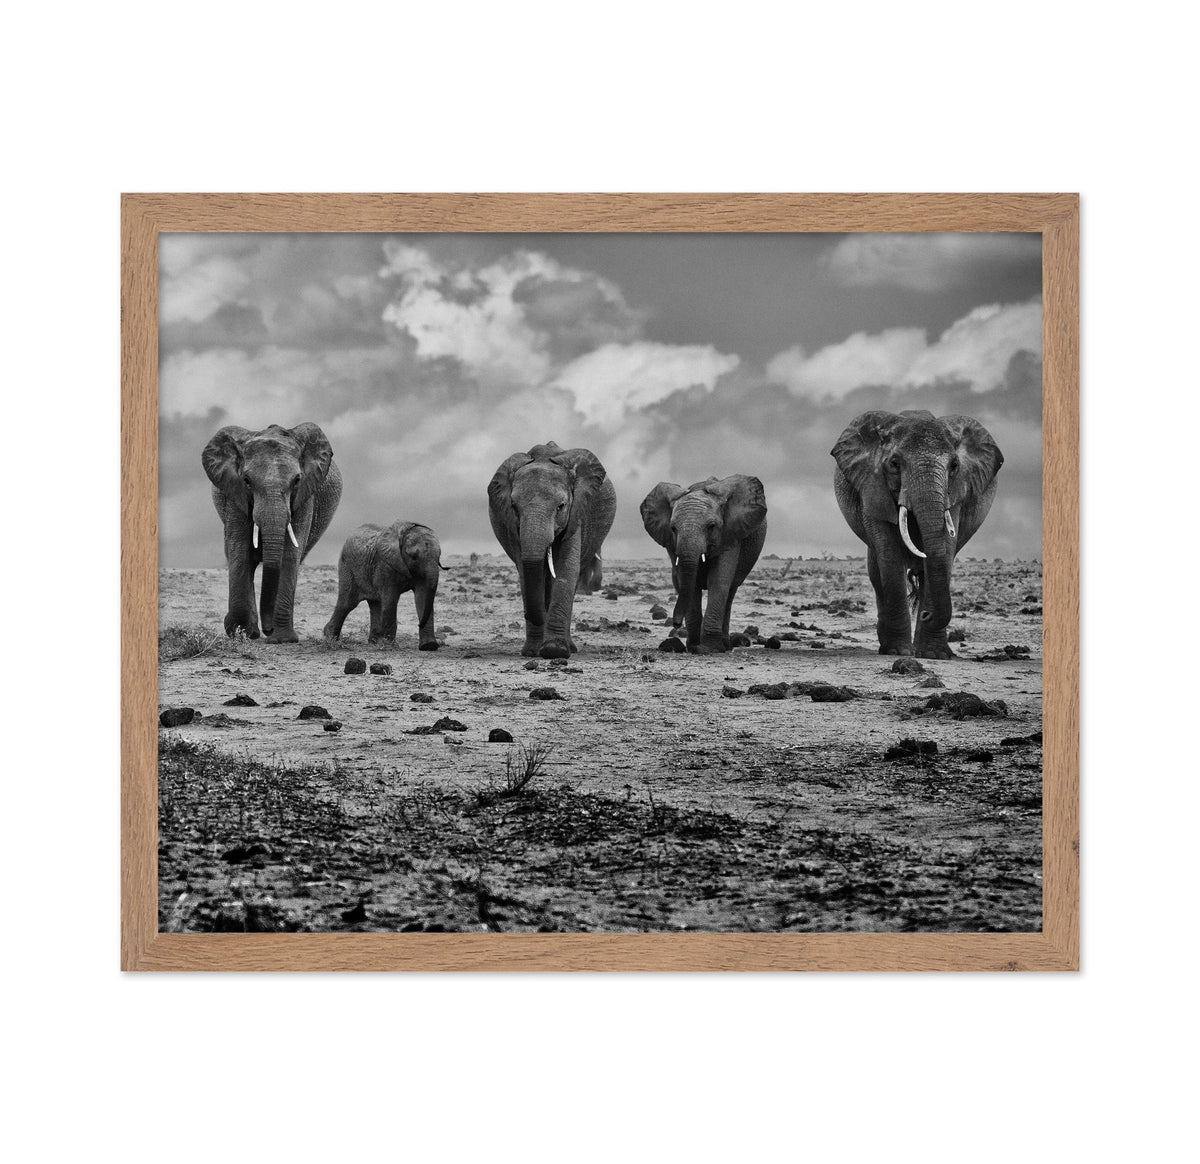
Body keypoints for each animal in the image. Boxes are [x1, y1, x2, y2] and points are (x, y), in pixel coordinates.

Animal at [202, 422, 343, 643]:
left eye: (296, 480)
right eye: (247, 480)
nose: (268, 630)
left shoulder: (305, 496)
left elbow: (290, 554)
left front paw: (283, 639)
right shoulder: (234, 494)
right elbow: (239, 551)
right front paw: (240, 632)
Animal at [323, 521, 444, 649]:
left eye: (439, 556)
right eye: (414, 556)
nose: (418, 624)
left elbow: (422, 597)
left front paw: (429, 646)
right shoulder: (385, 565)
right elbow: (390, 599)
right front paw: (390, 645)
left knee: (375, 603)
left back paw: (374, 642)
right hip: (347, 567)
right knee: (347, 603)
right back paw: (331, 637)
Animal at [487, 441, 616, 658]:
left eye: (561, 506)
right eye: (514, 506)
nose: (535, 615)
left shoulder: (576, 513)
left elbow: (566, 569)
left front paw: (554, 650)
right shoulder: (512, 525)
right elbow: (526, 573)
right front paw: (533, 652)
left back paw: (569, 647)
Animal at [640, 475, 767, 654]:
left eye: (711, 526)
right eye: (673, 528)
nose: (676, 624)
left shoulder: (730, 534)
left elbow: (718, 580)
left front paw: (709, 648)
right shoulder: (672, 543)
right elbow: (689, 583)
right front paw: (694, 647)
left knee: (730, 593)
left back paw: (725, 646)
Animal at [831, 409, 1004, 659]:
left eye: (954, 465)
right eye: (894, 463)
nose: (926, 615)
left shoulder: (956, 494)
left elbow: (945, 549)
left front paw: (935, 655)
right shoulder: (872, 487)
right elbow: (889, 556)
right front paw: (898, 651)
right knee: (877, 575)